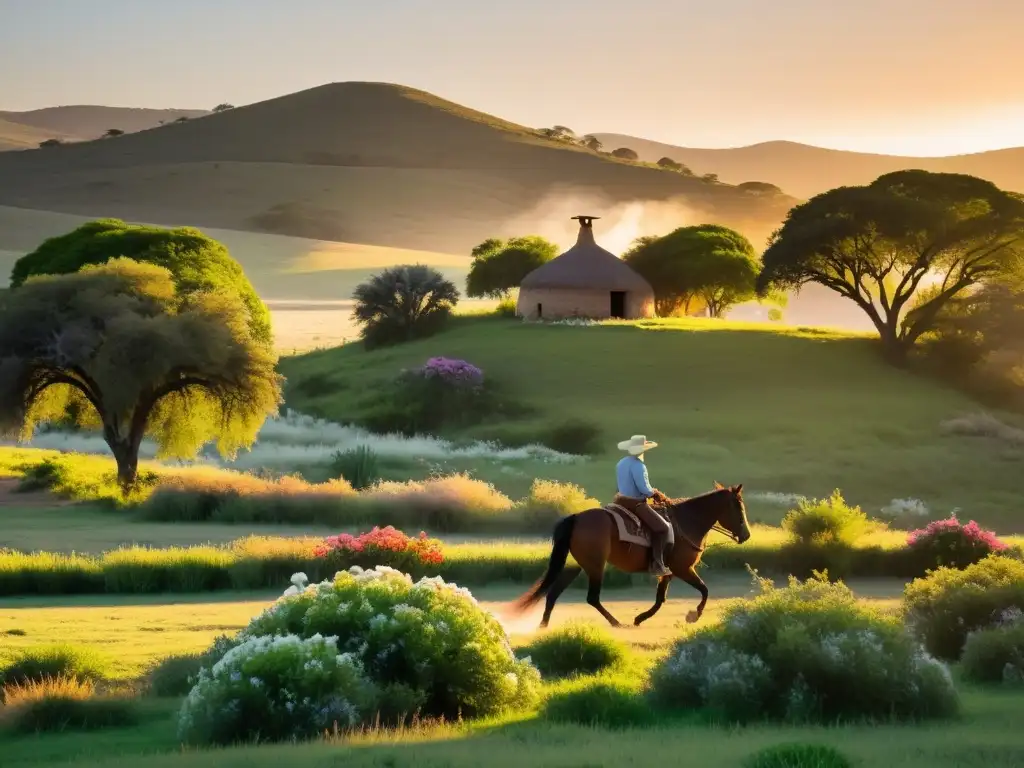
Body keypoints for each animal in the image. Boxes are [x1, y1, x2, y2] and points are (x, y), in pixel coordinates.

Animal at [512, 483, 753, 626]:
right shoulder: (683, 569)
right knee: (592, 598)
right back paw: (617, 623)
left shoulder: (668, 572)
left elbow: (660, 598)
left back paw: (543, 627)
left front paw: (640, 618)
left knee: (553, 593)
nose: (746, 535)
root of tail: (577, 518)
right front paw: (693, 615)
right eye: (739, 508)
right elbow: (704, 590)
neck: (687, 522)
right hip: (596, 566)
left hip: (576, 565)